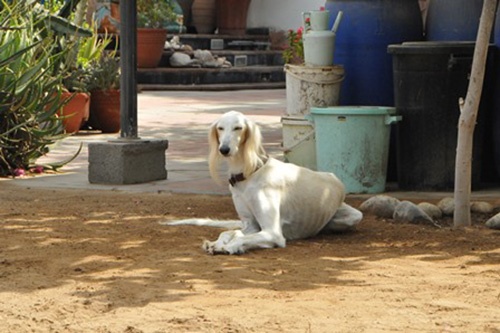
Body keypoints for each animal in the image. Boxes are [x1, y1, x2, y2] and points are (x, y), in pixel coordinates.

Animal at [162, 111, 362, 254]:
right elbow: (229, 232)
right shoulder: (250, 225)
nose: (224, 149)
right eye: (220, 128)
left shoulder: (272, 233)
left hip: (353, 216)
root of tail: (334, 178)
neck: (248, 174)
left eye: (238, 127)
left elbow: (240, 237)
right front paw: (217, 242)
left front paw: (230, 246)